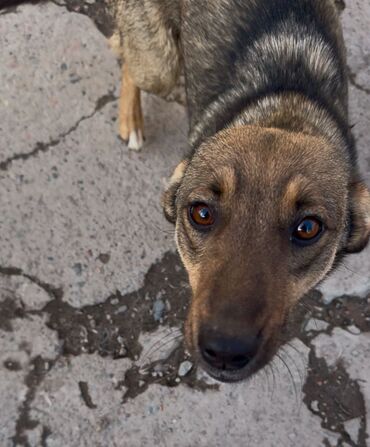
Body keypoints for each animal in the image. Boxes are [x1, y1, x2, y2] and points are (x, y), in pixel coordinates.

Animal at [111, 0, 370, 384]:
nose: (225, 352)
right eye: (201, 213)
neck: (283, 113)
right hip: (159, 66)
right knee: (126, 55)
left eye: (308, 228)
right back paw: (131, 119)